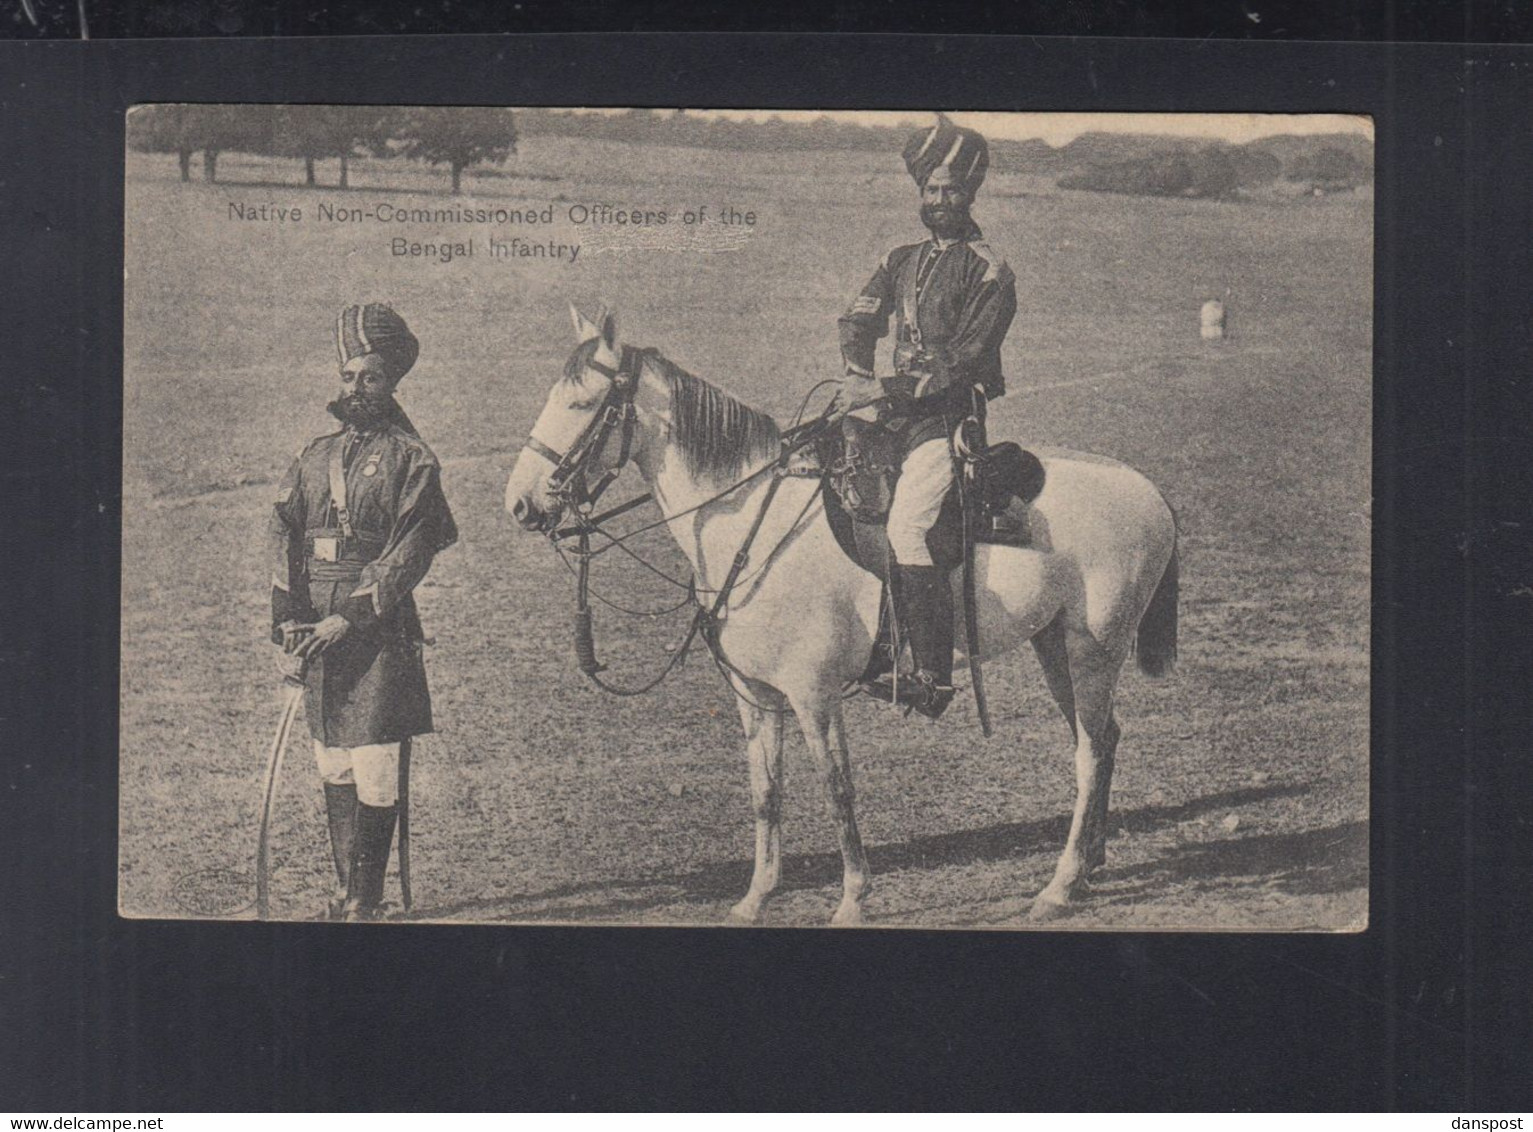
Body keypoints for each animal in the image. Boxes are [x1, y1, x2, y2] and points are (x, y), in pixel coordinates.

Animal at [502, 303, 1171, 920]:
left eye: (583, 403)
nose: (520, 504)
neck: (750, 522)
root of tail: (1152, 492)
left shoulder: (813, 694)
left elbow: (836, 788)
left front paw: (852, 898)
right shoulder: (756, 696)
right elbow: (766, 791)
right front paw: (756, 896)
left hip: (1094, 649)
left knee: (1089, 752)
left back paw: (1059, 885)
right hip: (1054, 645)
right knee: (1101, 739)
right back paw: (1091, 865)